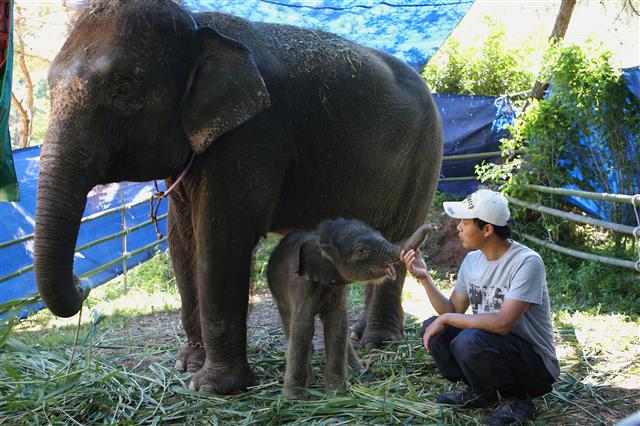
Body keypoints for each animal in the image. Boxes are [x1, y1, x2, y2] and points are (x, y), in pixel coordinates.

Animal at [268, 218, 438, 398]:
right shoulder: (301, 286)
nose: (433, 226)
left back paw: (358, 372)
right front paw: (294, 398)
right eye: (362, 250)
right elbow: (303, 328)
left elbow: (337, 326)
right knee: (289, 322)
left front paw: (337, 393)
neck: (318, 238)